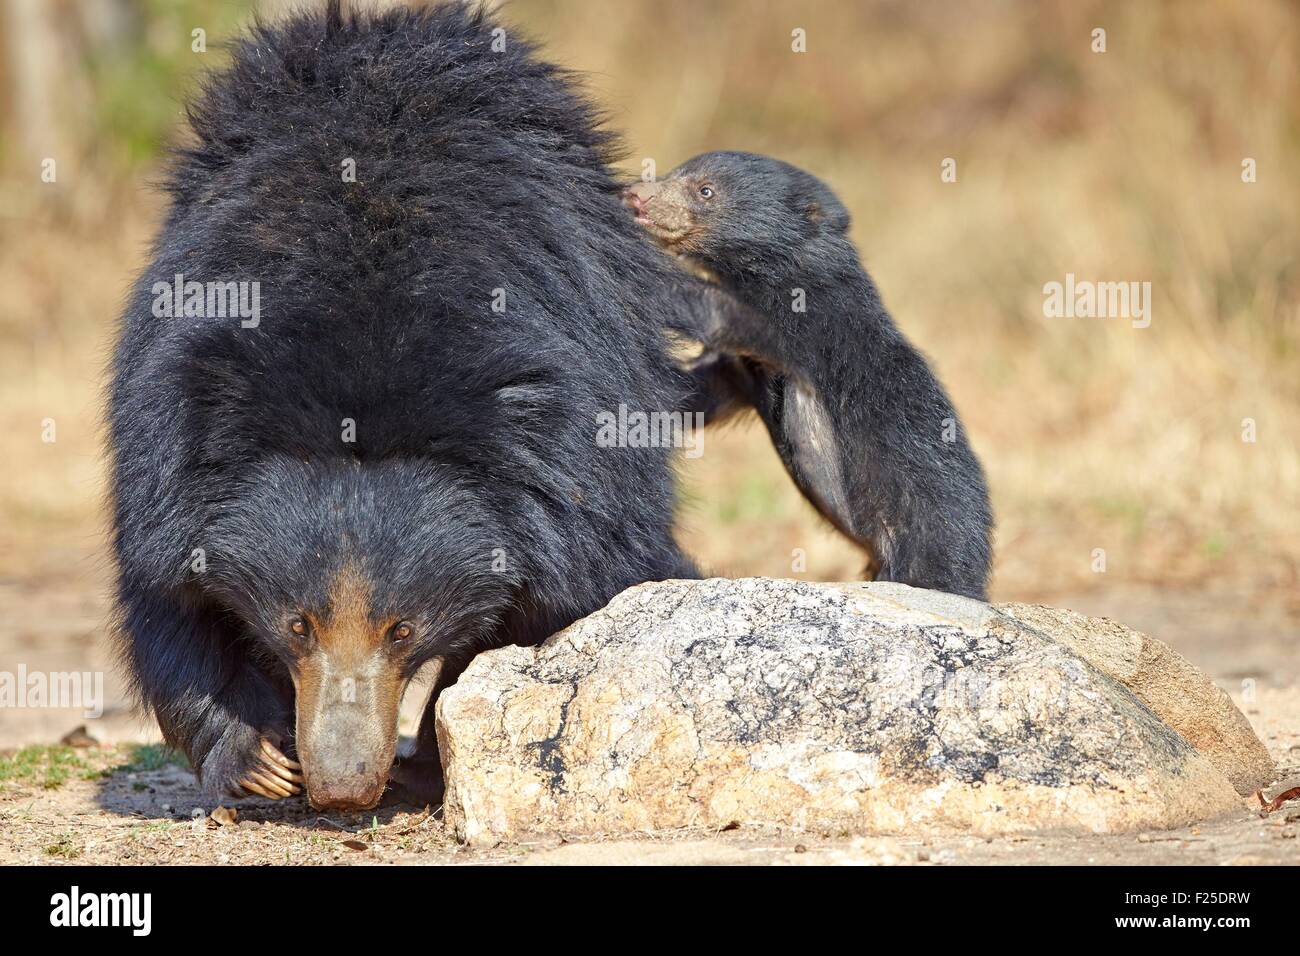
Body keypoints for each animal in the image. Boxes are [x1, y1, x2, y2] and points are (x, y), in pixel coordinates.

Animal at [108, 1, 701, 811]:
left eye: (402, 630)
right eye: (298, 625)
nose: (343, 787)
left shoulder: (576, 469)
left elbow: (563, 600)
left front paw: (426, 766)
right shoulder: (170, 431)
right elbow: (168, 596)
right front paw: (259, 760)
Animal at [624, 151, 994, 600]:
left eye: (705, 190)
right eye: (673, 173)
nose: (636, 194)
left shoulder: (804, 325)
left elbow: (719, 314)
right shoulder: (742, 368)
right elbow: (696, 393)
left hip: (914, 536)